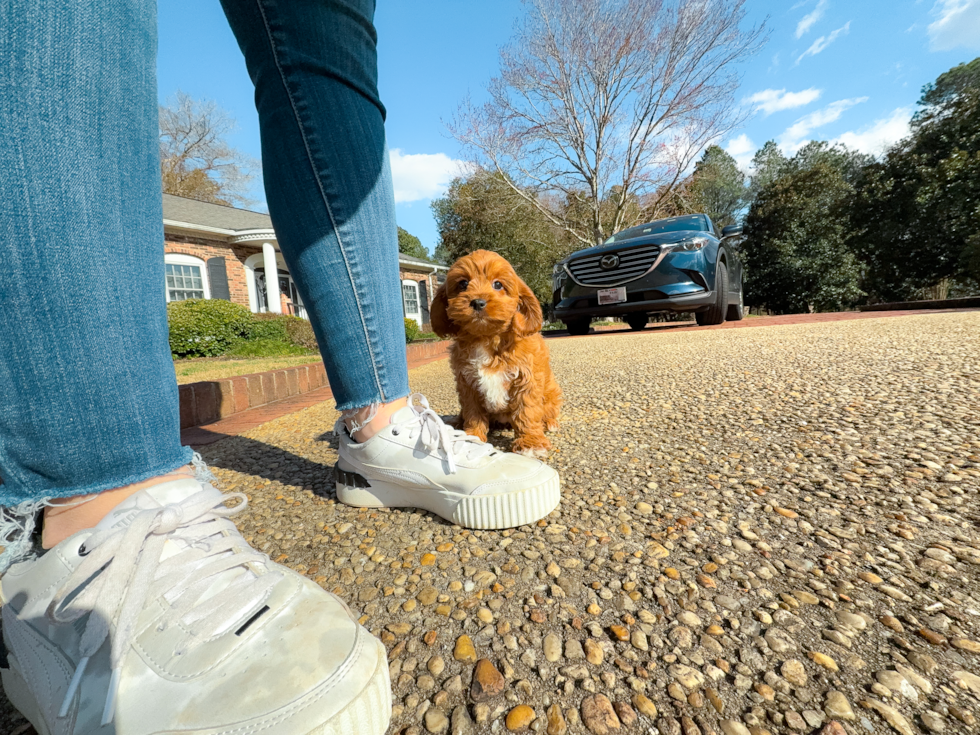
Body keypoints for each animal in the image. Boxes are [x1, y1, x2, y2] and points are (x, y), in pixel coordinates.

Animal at [432, 250, 564, 458]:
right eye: (463, 283)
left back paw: (550, 423)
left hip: (552, 392)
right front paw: (472, 437)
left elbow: (527, 410)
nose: (478, 302)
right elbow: (473, 412)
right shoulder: (467, 383)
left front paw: (531, 443)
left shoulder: (527, 378)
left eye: (498, 284)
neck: (486, 337)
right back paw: (457, 422)